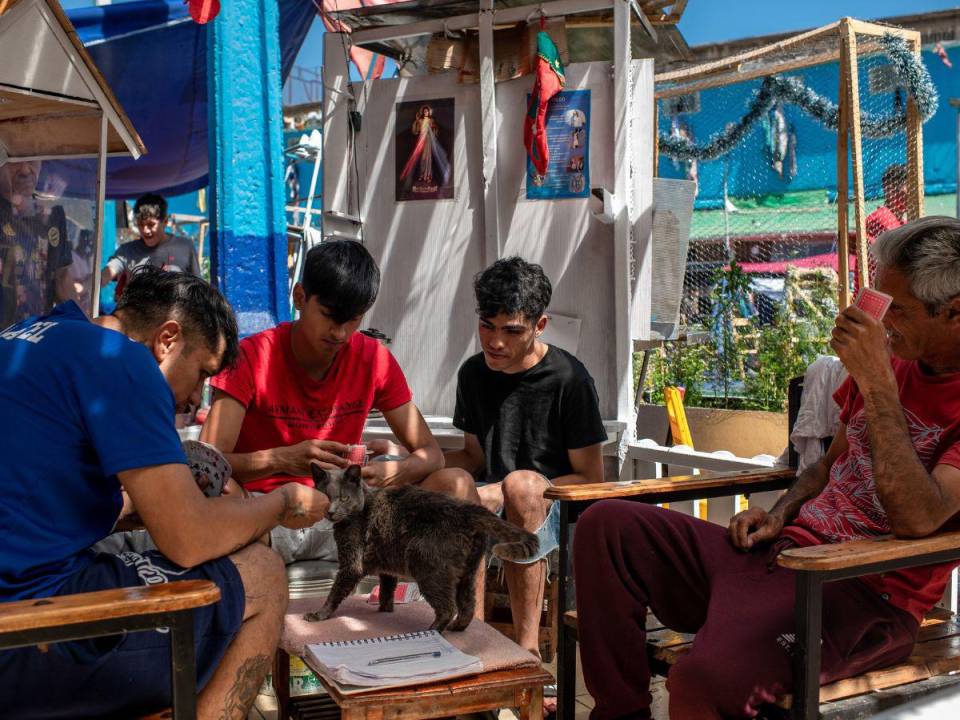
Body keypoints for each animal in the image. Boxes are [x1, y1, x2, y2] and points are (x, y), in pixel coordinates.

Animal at [304, 464, 536, 632]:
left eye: (343, 497)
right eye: (324, 497)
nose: (330, 511)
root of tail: (467, 509)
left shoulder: (352, 564)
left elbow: (335, 592)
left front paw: (319, 615)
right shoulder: (387, 564)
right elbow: (387, 589)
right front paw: (385, 610)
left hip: (427, 567)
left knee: (447, 607)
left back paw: (430, 631)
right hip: (467, 573)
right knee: (468, 606)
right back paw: (456, 627)